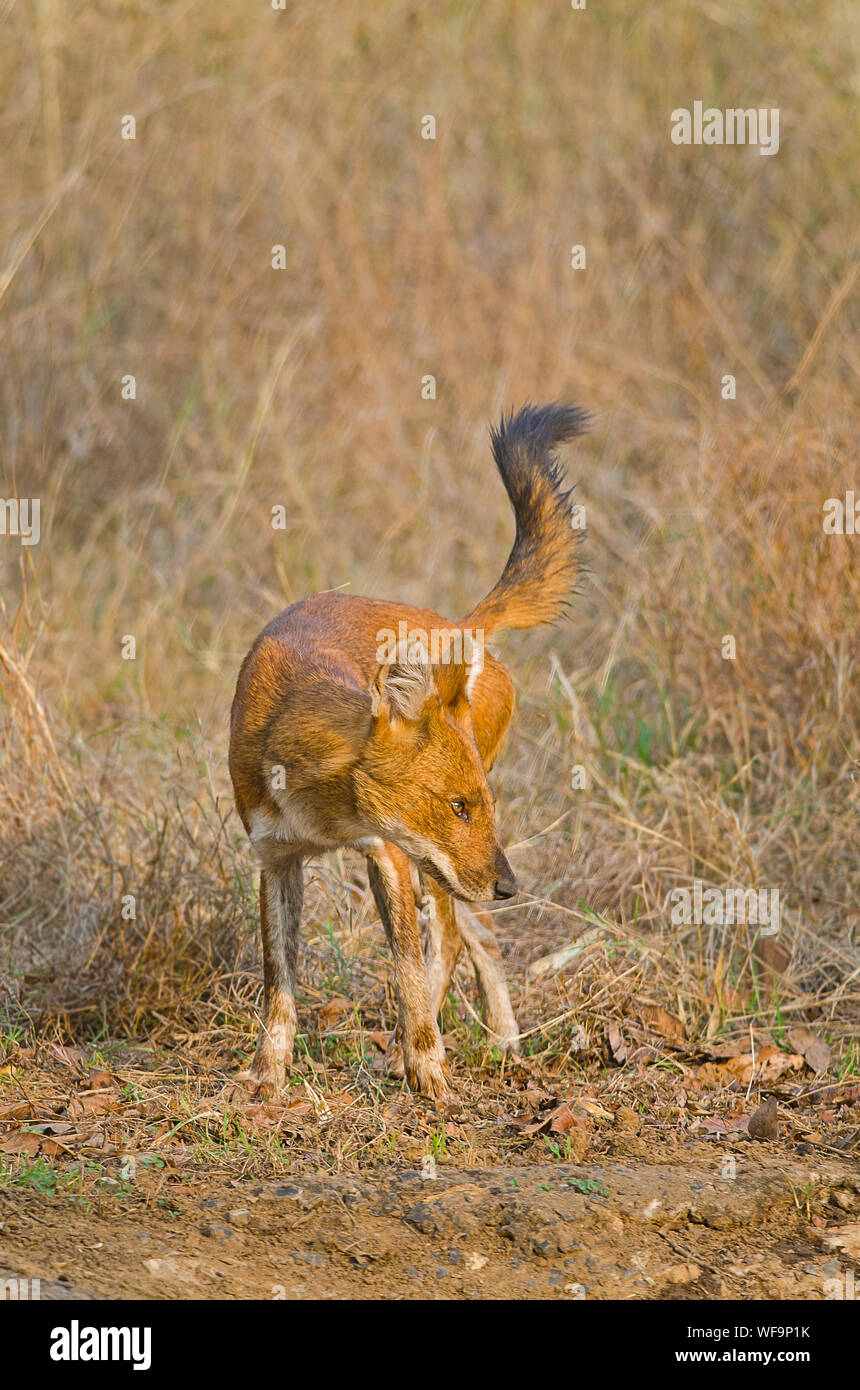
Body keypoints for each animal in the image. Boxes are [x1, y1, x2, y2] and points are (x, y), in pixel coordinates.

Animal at [232, 403, 589, 1095]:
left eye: (477, 805)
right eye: (458, 806)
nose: (511, 886)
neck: (322, 812)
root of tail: (461, 627)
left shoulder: (388, 853)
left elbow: (408, 972)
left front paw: (427, 1070)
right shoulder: (276, 858)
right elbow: (278, 982)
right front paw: (266, 1075)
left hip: (441, 870)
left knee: (451, 940)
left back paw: (434, 1054)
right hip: (449, 869)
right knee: (477, 935)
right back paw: (499, 1043)